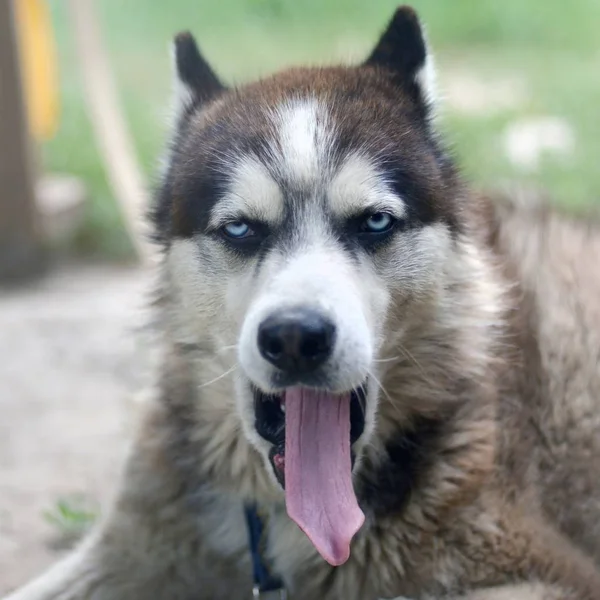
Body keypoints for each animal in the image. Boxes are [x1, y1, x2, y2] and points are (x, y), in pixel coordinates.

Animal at [7, 5, 600, 600]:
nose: (295, 337)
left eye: (375, 222)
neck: (285, 521)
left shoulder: (542, 568)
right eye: (240, 228)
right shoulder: (124, 548)